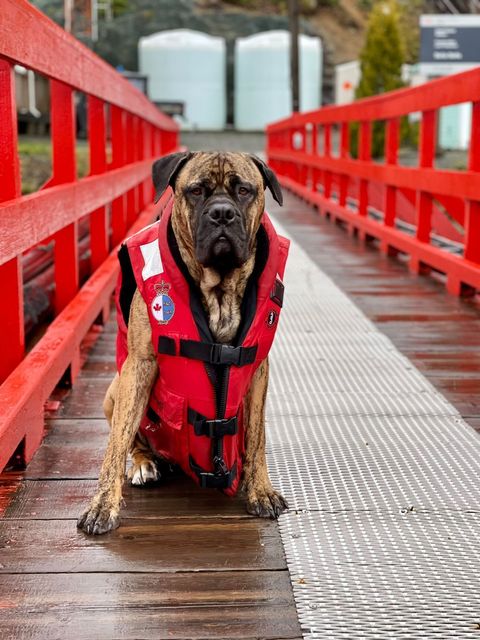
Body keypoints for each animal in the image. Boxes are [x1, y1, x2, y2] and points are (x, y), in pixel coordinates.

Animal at [78, 151, 286, 536]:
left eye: (244, 191)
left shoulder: (258, 370)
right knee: (132, 439)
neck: (219, 287)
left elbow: (257, 436)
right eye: (197, 191)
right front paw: (102, 505)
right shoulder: (139, 366)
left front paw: (260, 490)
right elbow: (115, 446)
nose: (222, 213)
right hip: (115, 389)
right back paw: (145, 463)